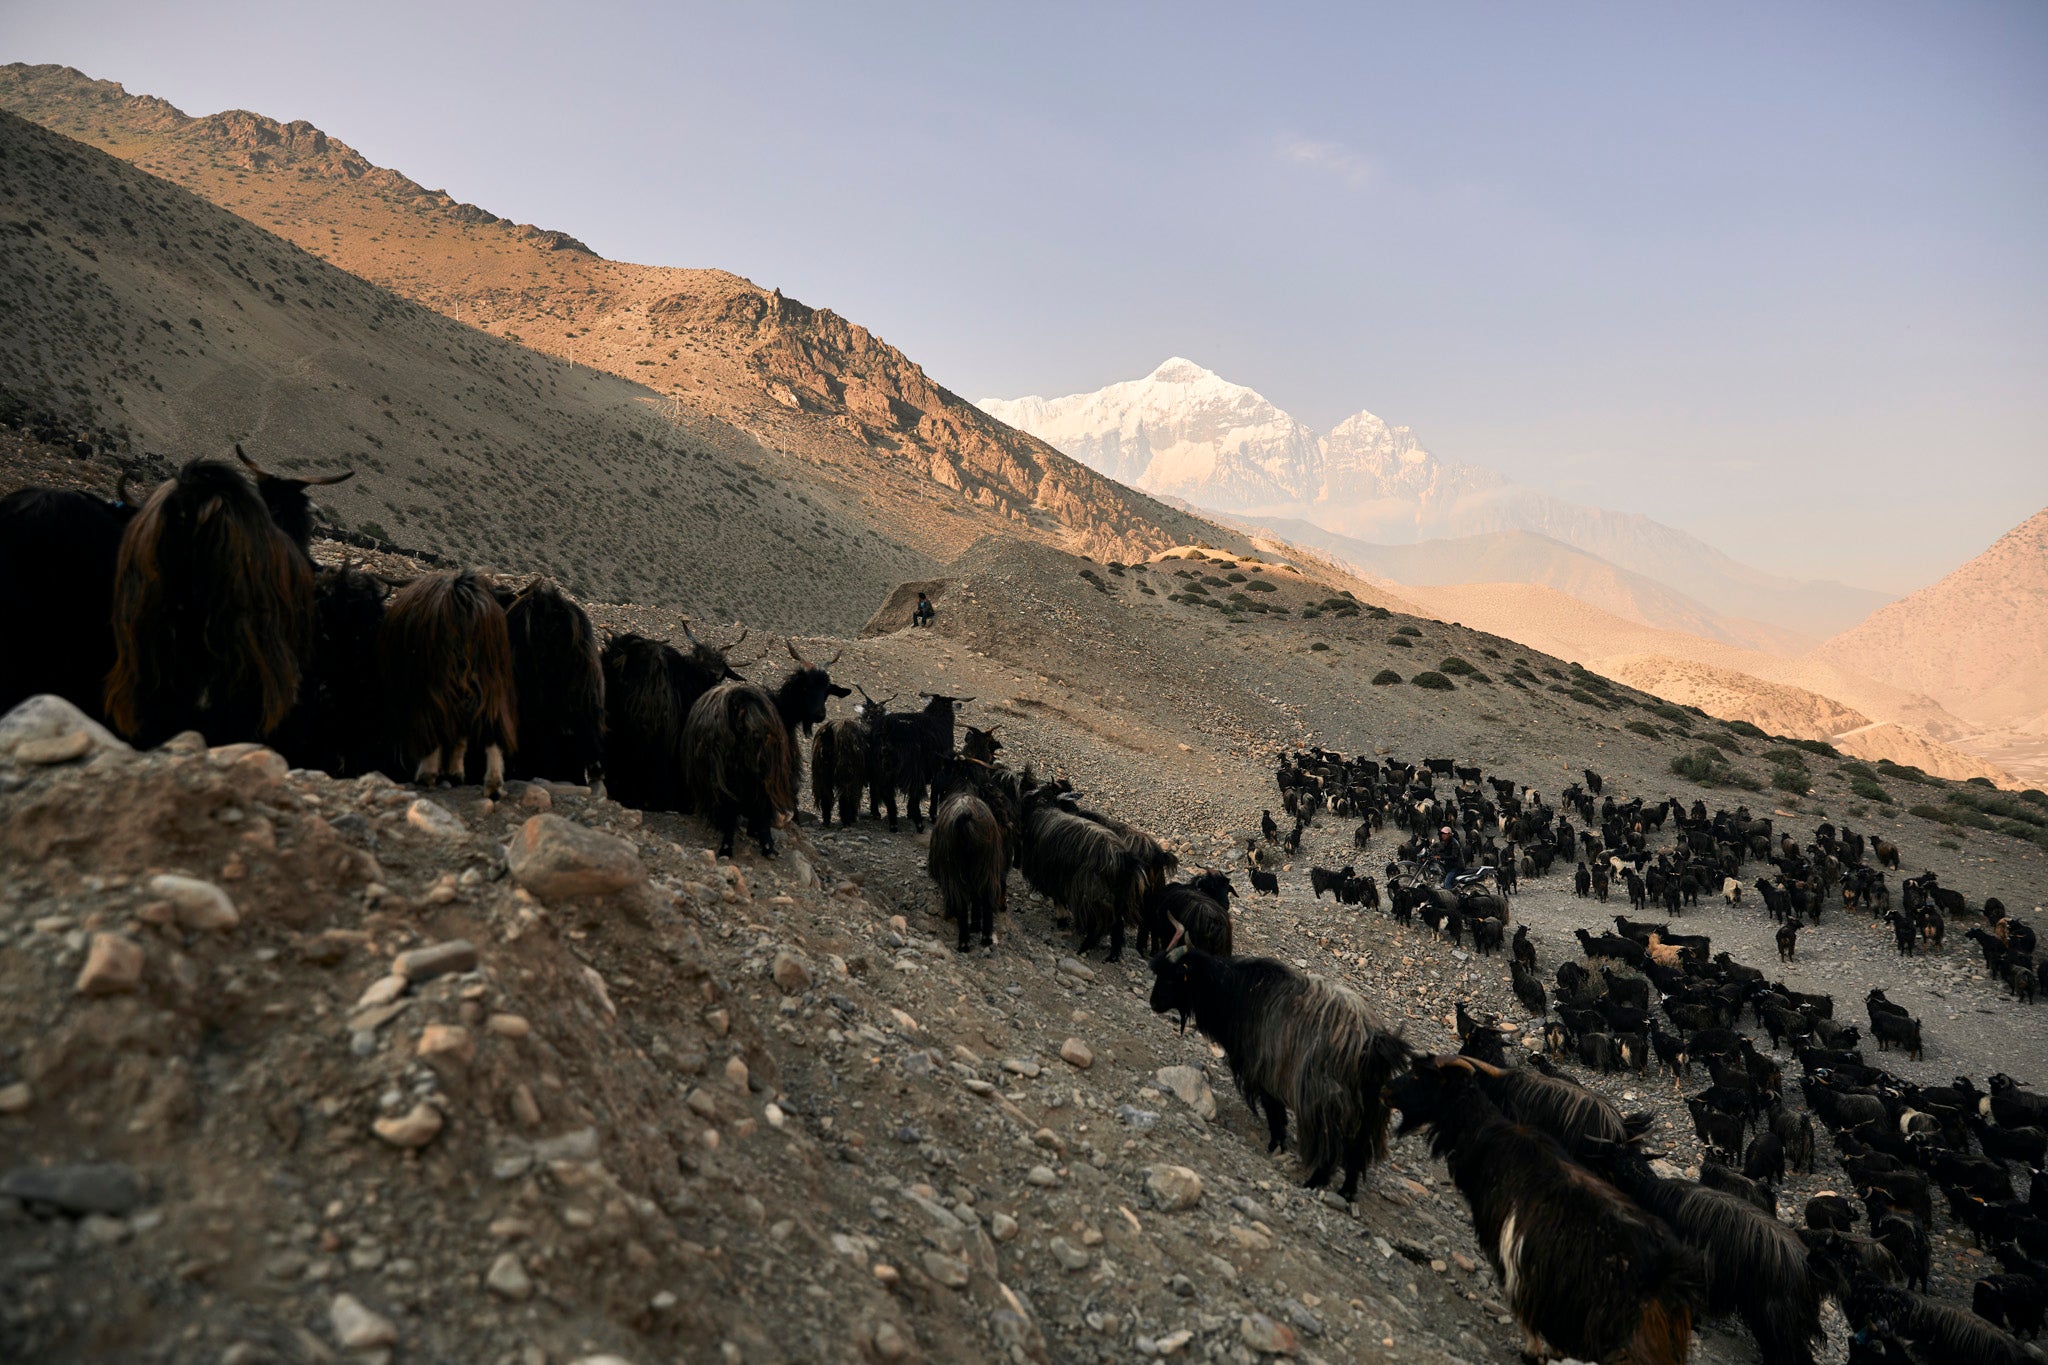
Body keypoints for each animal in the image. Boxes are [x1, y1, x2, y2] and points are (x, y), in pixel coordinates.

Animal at [380, 568, 516, 802]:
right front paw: (455, 773)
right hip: (491, 679)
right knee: (492, 724)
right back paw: (493, 785)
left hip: (432, 680)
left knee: (434, 720)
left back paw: (426, 775)